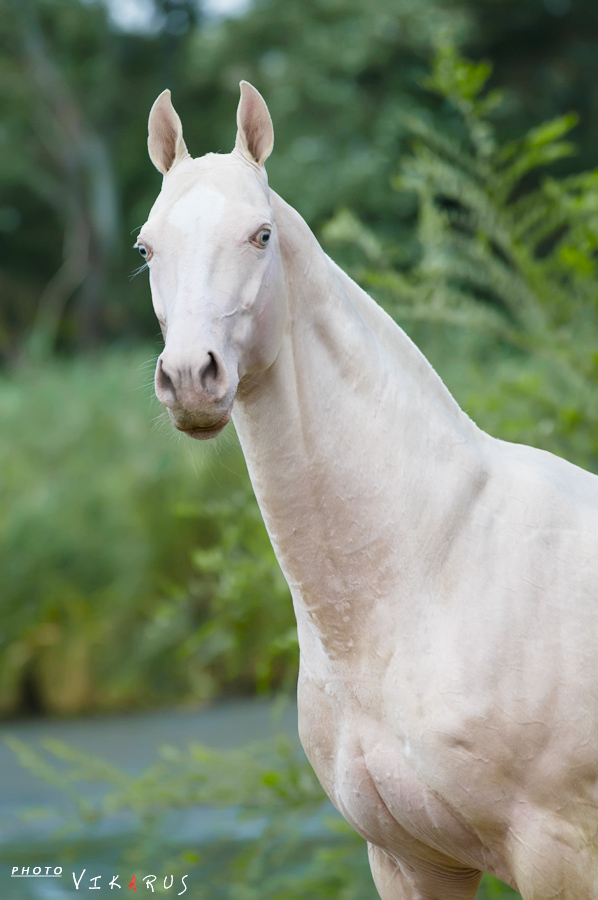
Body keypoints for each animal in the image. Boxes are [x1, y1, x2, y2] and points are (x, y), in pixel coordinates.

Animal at [138, 84, 598, 900]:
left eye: (260, 235)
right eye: (147, 248)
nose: (191, 377)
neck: (430, 573)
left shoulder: (559, 854)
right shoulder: (409, 859)